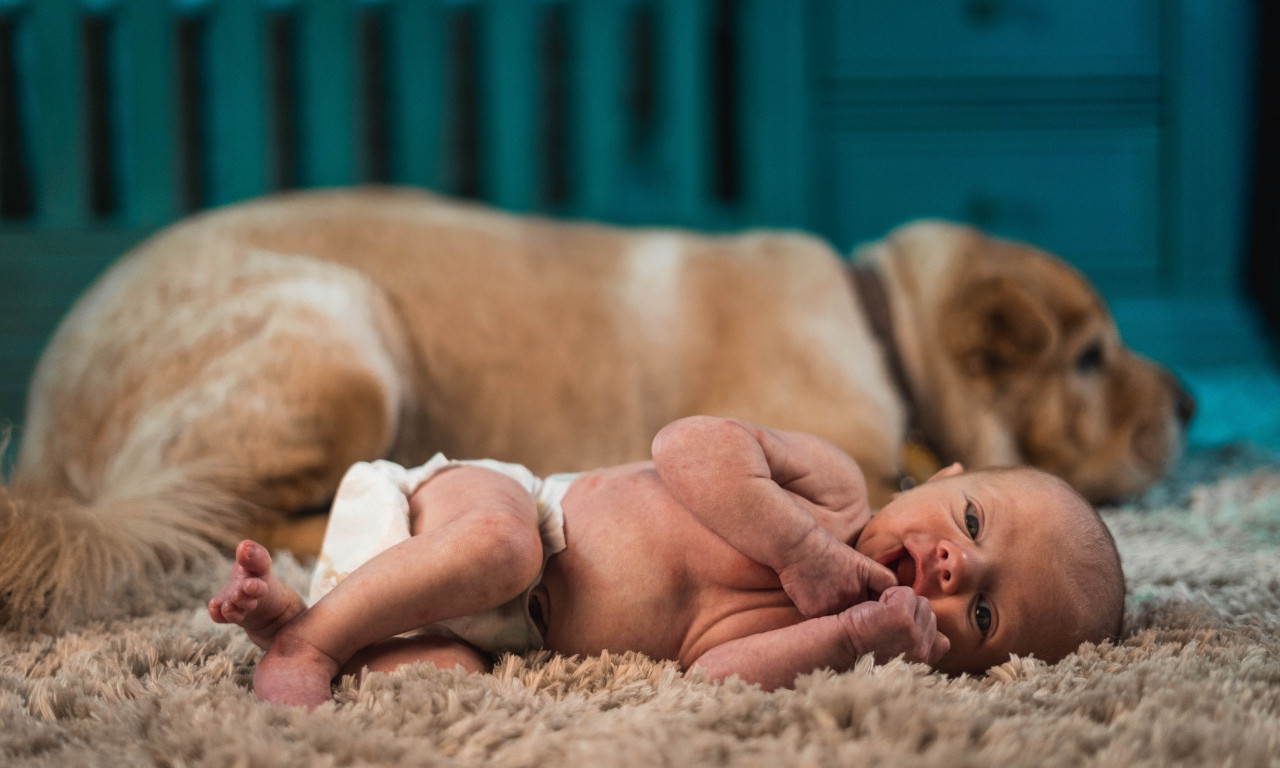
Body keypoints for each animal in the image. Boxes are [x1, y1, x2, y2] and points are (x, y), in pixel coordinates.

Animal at [0, 186, 1187, 629]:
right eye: (1090, 358)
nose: (1186, 397)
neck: (884, 321)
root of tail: (43, 435)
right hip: (344, 334)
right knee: (216, 514)